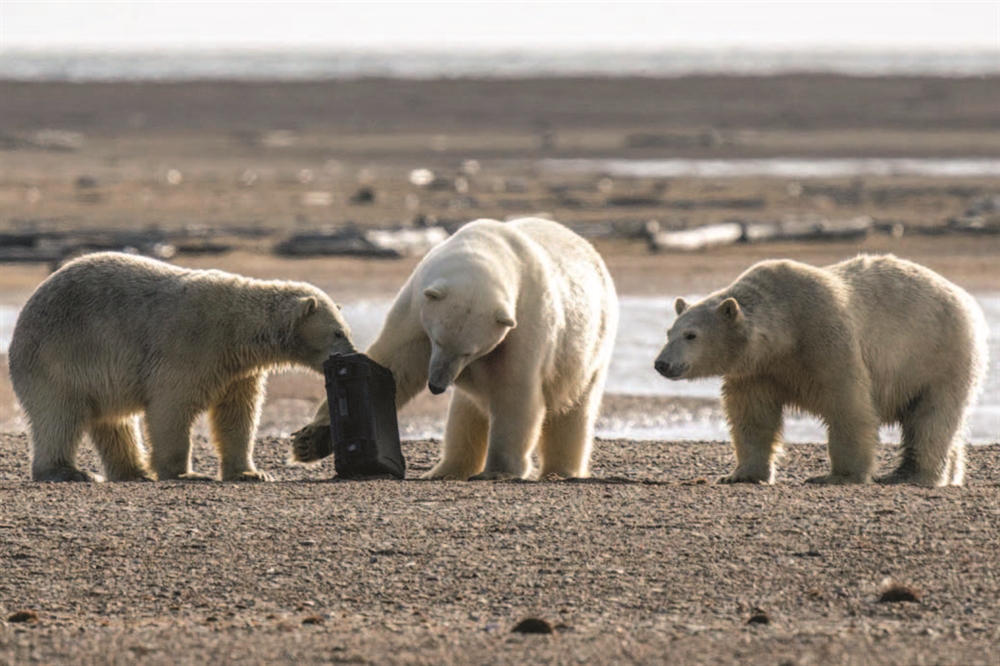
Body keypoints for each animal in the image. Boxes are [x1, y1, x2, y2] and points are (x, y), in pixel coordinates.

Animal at [8, 251, 355, 482]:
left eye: (347, 331)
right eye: (337, 333)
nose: (352, 353)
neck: (239, 329)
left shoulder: (238, 369)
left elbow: (237, 414)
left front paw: (251, 473)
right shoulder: (191, 344)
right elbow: (171, 405)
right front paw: (185, 473)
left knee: (115, 422)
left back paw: (134, 471)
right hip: (59, 357)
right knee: (60, 416)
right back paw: (68, 471)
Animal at [290, 217, 619, 481]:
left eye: (469, 351)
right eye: (437, 340)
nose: (436, 385)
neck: (490, 247)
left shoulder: (525, 324)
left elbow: (515, 393)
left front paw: (498, 471)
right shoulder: (416, 308)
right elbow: (393, 365)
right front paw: (310, 440)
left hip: (591, 350)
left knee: (574, 413)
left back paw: (560, 471)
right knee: (466, 415)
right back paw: (445, 470)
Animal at [654, 254, 988, 487]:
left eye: (691, 335)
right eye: (669, 332)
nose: (661, 363)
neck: (784, 331)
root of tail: (967, 299)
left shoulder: (826, 338)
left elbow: (849, 404)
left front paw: (838, 476)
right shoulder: (757, 371)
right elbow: (752, 416)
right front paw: (740, 474)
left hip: (938, 355)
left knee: (932, 418)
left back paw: (911, 475)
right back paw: (947, 475)